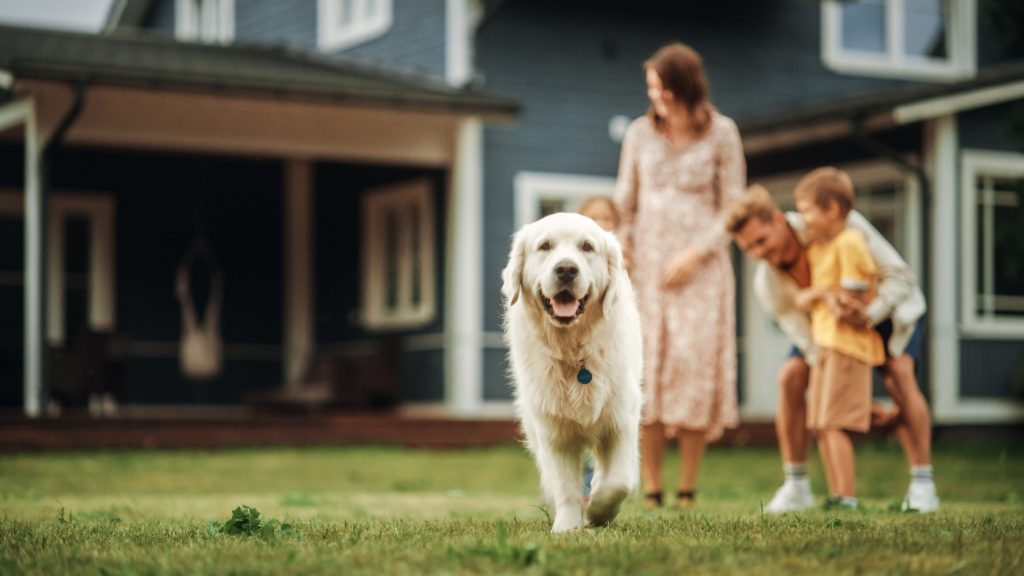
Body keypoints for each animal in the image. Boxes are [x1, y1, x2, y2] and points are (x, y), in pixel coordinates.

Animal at [501, 211, 638, 528]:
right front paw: (566, 527)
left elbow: (618, 482)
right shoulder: (554, 430)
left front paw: (599, 511)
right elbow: (565, 487)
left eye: (587, 247)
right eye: (545, 246)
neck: (573, 354)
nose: (566, 269)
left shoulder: (622, 420)